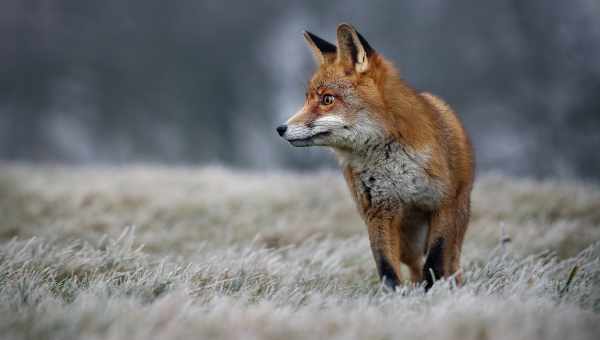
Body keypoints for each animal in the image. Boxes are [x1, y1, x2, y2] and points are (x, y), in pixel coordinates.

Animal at [276, 23, 474, 290]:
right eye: (307, 99)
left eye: (327, 99)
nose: (280, 128)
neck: (394, 166)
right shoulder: (379, 211)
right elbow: (386, 267)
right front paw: (395, 295)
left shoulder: (441, 204)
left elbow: (434, 263)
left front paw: (434, 292)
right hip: (408, 241)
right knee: (414, 264)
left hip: (456, 219)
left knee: (451, 261)